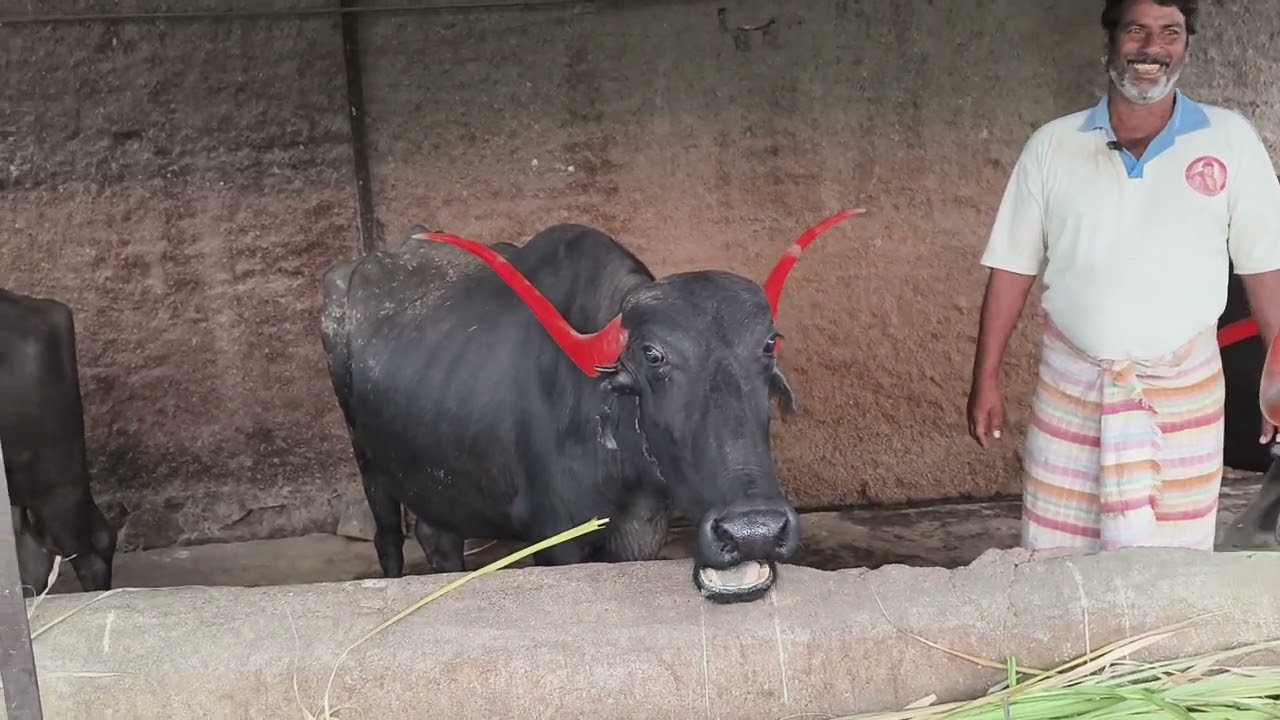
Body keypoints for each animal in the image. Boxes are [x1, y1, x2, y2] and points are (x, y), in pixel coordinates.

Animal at [319, 210, 863, 602]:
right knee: (388, 538)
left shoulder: (641, 530)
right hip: (368, 464)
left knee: (439, 537)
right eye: (653, 355)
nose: (754, 531)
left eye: (768, 344)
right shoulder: (556, 538)